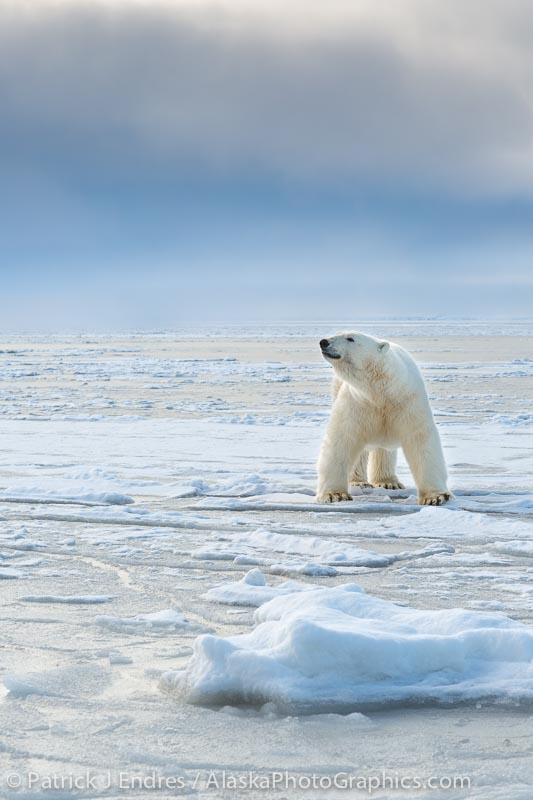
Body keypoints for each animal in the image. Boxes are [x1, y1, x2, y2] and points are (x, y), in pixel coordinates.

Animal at [316, 330, 452, 506]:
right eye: (337, 333)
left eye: (350, 338)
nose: (324, 342)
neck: (381, 390)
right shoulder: (357, 402)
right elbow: (342, 440)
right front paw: (335, 495)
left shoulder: (407, 401)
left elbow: (420, 440)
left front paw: (436, 497)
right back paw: (359, 482)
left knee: (385, 451)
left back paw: (389, 482)